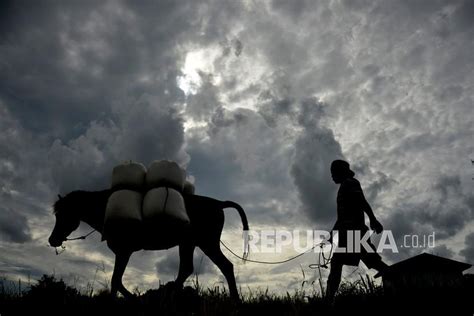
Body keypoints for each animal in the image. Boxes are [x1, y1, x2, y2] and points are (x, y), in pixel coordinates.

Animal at [47, 189, 248, 300]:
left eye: (63, 214)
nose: (52, 240)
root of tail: (218, 203)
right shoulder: (122, 252)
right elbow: (116, 281)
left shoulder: (124, 251)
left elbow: (116, 281)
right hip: (190, 243)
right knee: (192, 269)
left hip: (206, 243)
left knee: (223, 266)